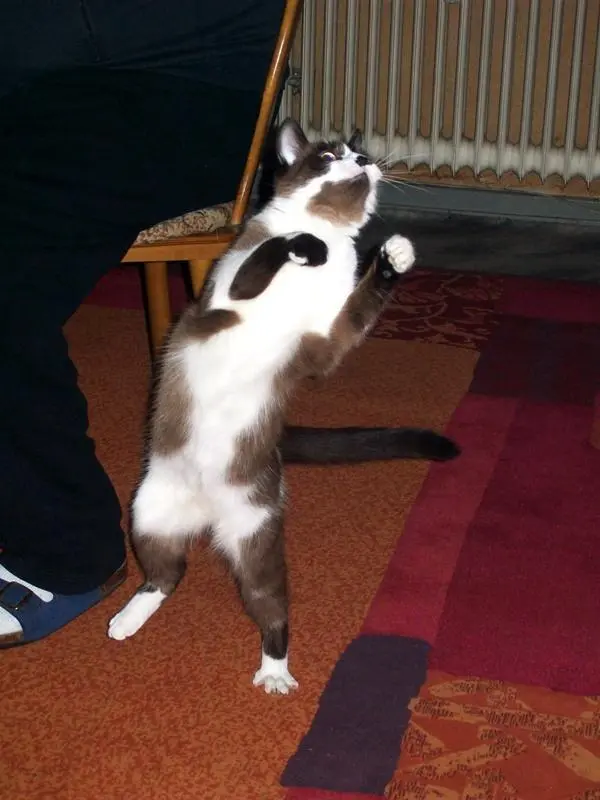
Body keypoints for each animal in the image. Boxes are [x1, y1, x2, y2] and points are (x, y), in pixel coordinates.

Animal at [108, 119, 459, 694]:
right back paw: (124, 622)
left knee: (268, 607)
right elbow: (269, 251)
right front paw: (305, 246)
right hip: (147, 512)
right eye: (330, 156)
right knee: (165, 576)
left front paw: (395, 257)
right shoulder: (229, 296)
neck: (327, 230)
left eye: (359, 152)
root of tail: (207, 517)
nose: (364, 160)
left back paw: (274, 672)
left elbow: (361, 299)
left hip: (255, 540)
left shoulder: (324, 345)